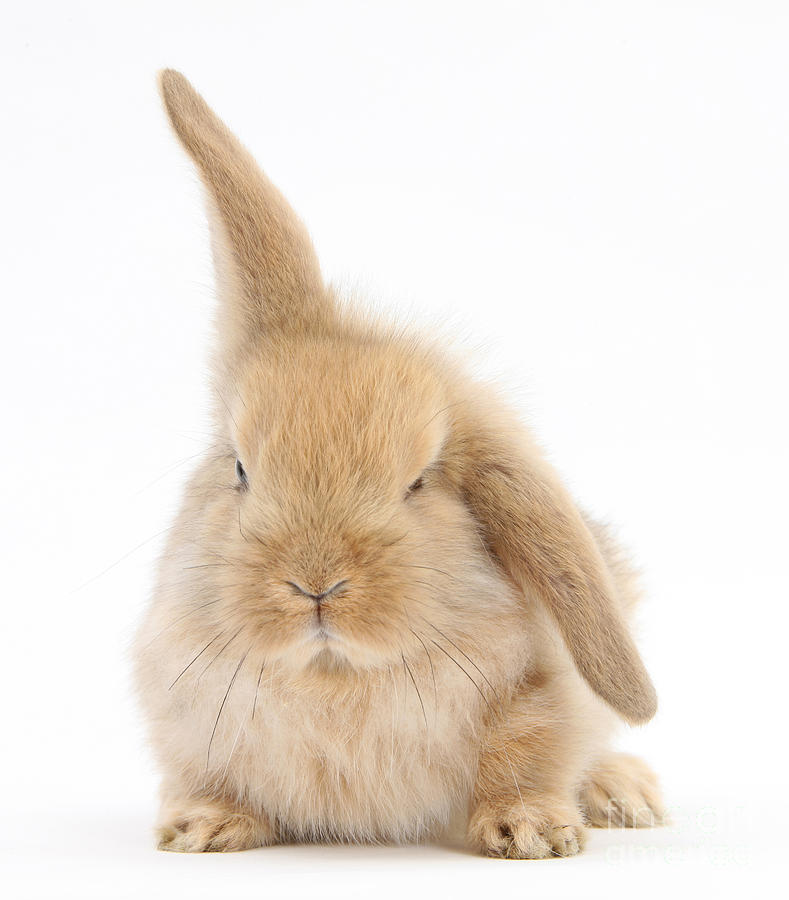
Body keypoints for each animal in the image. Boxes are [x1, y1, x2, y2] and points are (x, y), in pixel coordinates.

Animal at [132, 70, 660, 856]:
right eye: (241, 469)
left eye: (418, 482)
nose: (316, 583)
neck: (334, 676)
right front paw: (203, 825)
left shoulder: (543, 695)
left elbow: (528, 755)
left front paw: (532, 832)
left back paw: (624, 794)